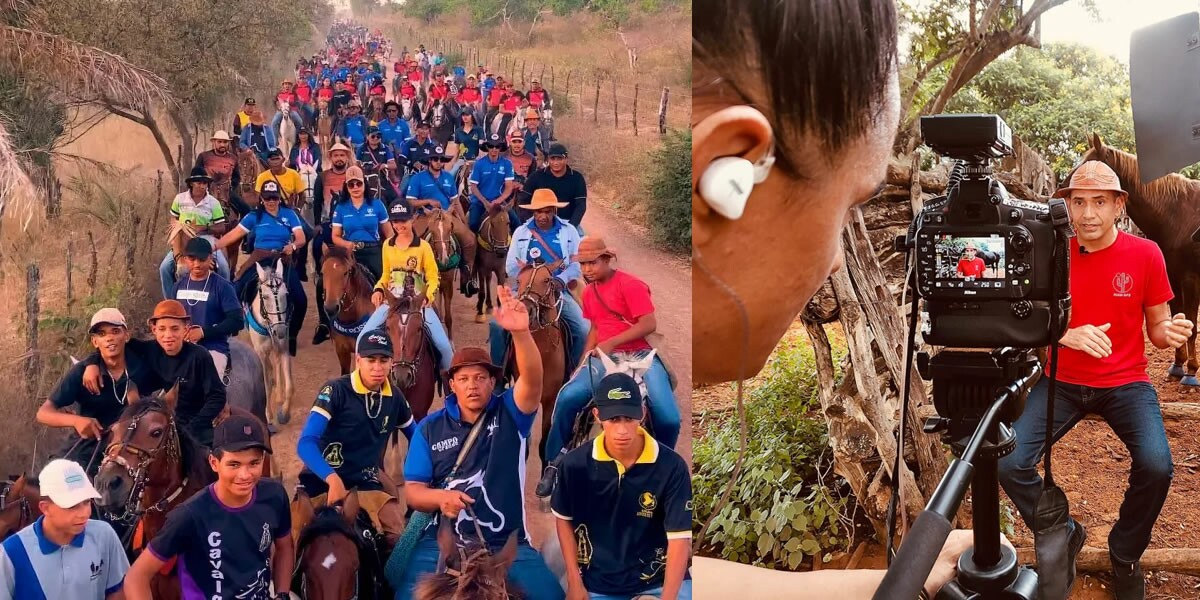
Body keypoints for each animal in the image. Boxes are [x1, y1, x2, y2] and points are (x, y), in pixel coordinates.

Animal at [243, 260, 290, 424]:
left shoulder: (283, 347)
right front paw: (268, 414)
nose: (280, 331)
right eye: (265, 297)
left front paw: (284, 412)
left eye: (285, 294)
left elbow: (290, 385)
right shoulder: (261, 353)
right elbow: (266, 383)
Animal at [1075, 134, 1200, 384]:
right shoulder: (1172, 277)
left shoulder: (1191, 278)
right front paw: (1177, 366)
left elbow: (1190, 325)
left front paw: (1191, 373)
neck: (1179, 215)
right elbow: (1176, 317)